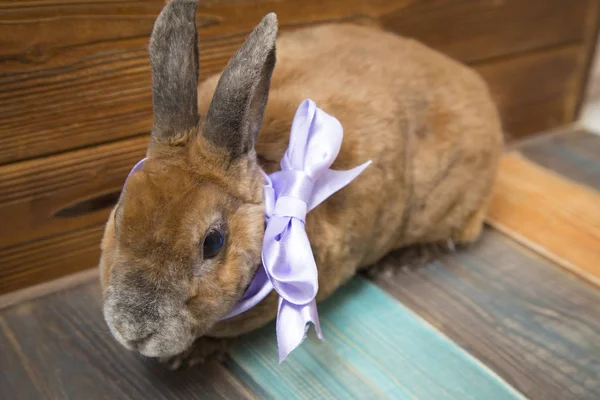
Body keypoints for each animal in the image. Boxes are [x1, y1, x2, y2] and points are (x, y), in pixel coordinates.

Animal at [98, 0, 502, 366]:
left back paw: (401, 261)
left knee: (464, 232)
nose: (132, 331)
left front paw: (190, 356)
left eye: (212, 243)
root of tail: (478, 86)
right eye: (119, 215)